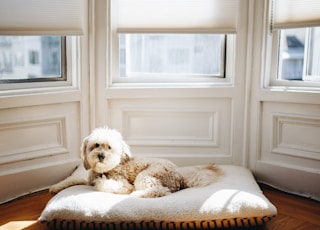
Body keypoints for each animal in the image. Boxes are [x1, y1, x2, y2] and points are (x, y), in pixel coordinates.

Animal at [50, 127, 222, 198]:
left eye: (109, 147)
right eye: (96, 145)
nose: (101, 156)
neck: (105, 170)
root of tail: (180, 177)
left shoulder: (122, 183)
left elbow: (103, 185)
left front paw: (102, 183)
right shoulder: (87, 179)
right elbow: (73, 179)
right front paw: (55, 187)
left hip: (145, 176)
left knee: (159, 191)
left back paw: (137, 194)